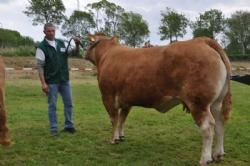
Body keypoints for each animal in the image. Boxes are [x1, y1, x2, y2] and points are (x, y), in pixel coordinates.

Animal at [85, 34, 231, 166]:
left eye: (89, 42)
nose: (84, 54)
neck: (107, 54)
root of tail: (202, 40)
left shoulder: (107, 96)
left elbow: (114, 119)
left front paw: (113, 139)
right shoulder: (127, 101)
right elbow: (122, 119)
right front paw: (120, 136)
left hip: (198, 103)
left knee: (207, 127)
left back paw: (205, 159)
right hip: (216, 103)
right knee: (219, 123)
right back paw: (218, 154)